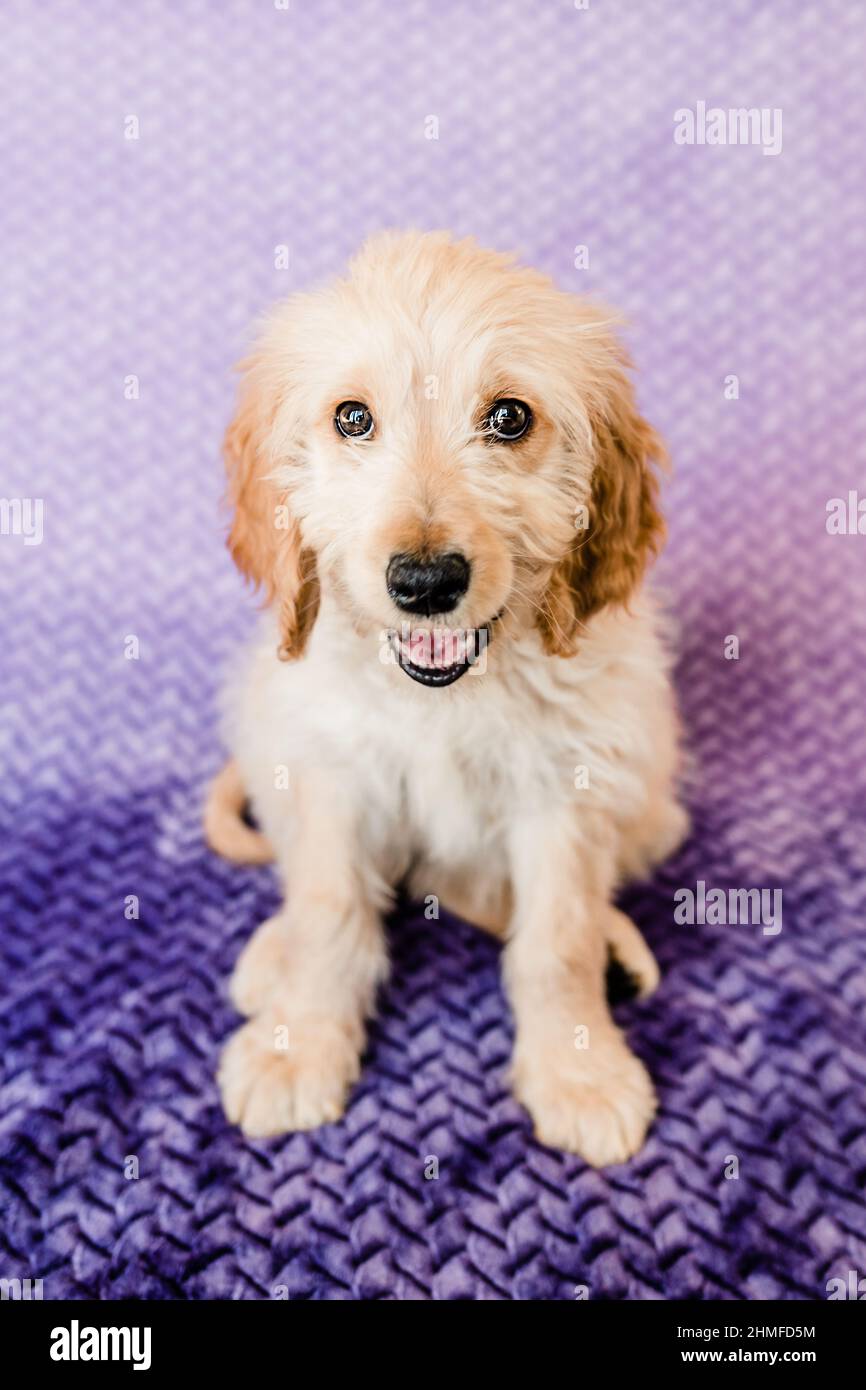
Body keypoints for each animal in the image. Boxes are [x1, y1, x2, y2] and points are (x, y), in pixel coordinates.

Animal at [207, 227, 686, 1162]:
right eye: (352, 417)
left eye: (509, 418)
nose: (426, 582)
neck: (445, 698)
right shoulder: (330, 773)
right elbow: (328, 907)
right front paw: (298, 1045)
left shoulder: (569, 791)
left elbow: (557, 938)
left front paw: (579, 1070)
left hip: (647, 790)